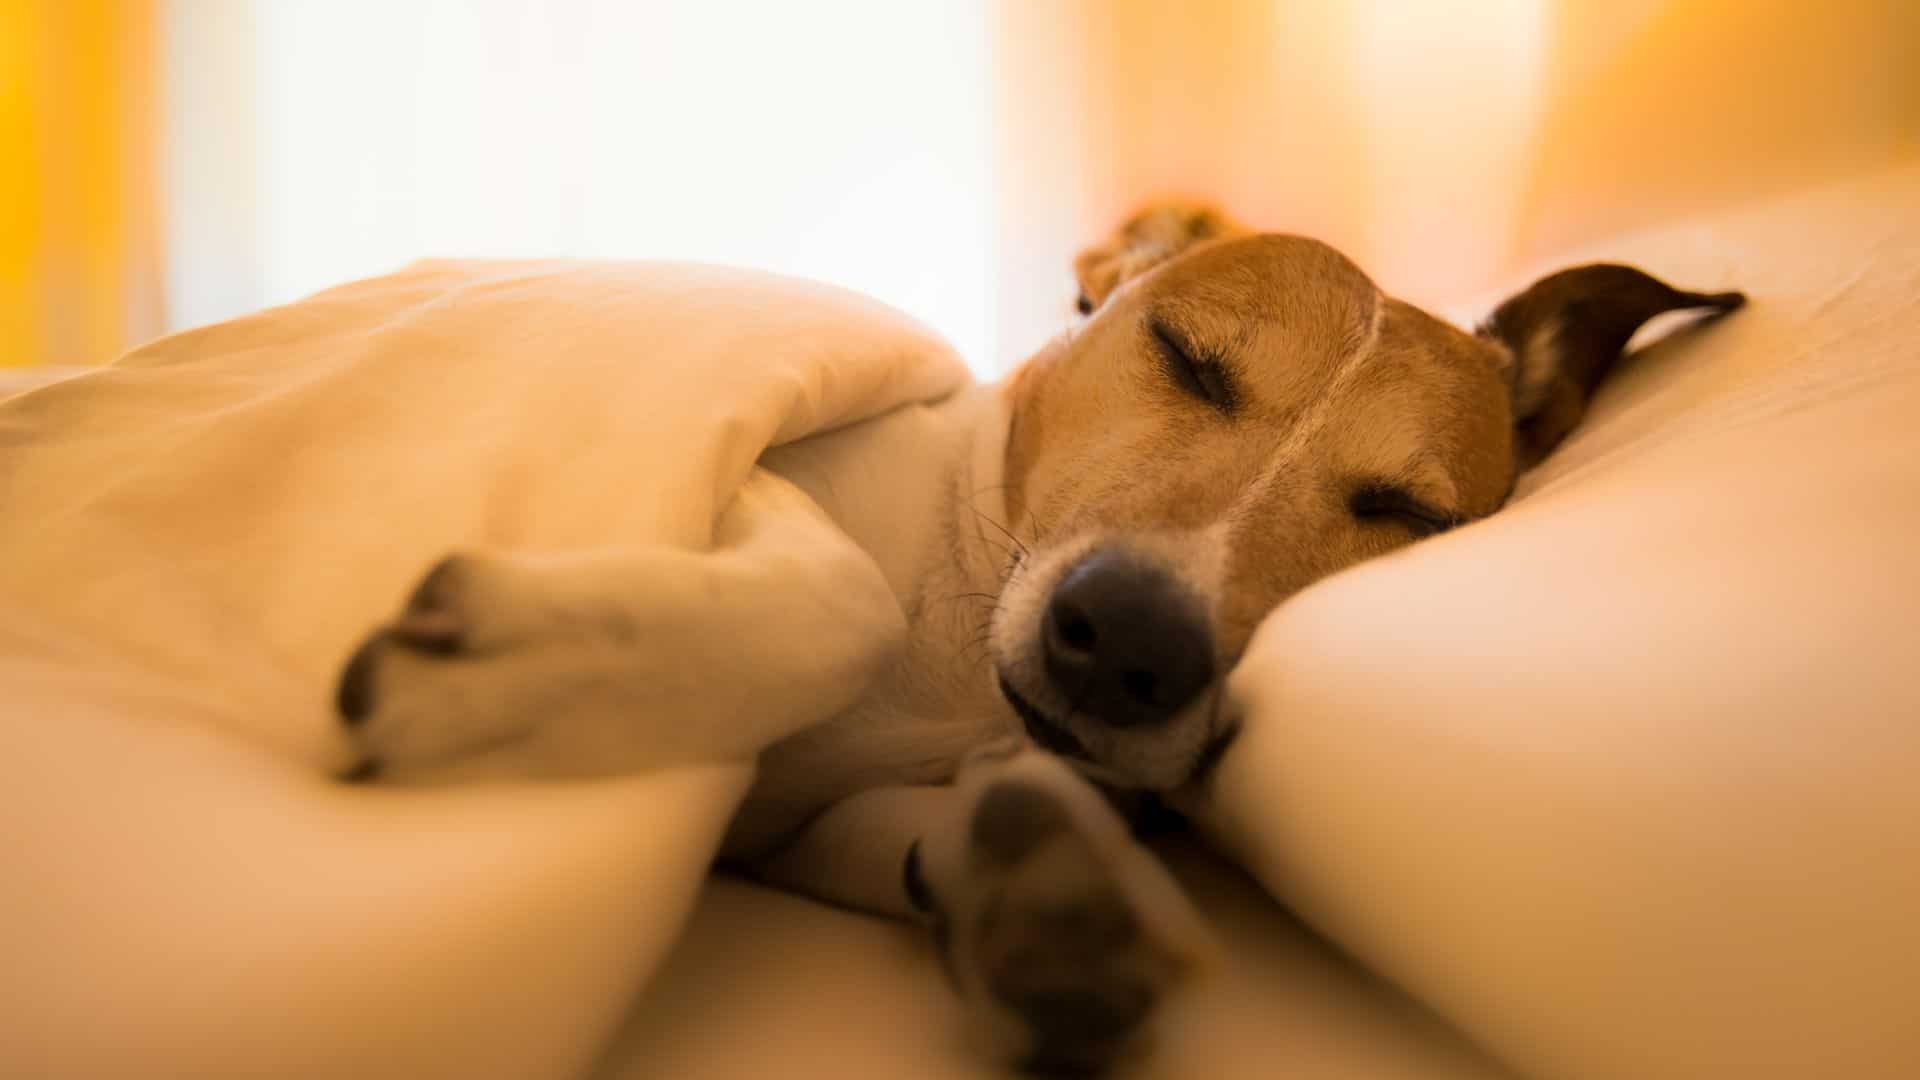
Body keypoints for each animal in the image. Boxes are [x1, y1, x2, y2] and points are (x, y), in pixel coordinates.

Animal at [330, 201, 1743, 1068]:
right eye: (1186, 356)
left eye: (1408, 513)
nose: (1127, 644)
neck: (957, 658)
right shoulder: (780, 481)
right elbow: (840, 599)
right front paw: (511, 673)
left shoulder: (783, 834)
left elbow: (915, 826)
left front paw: (1052, 881)